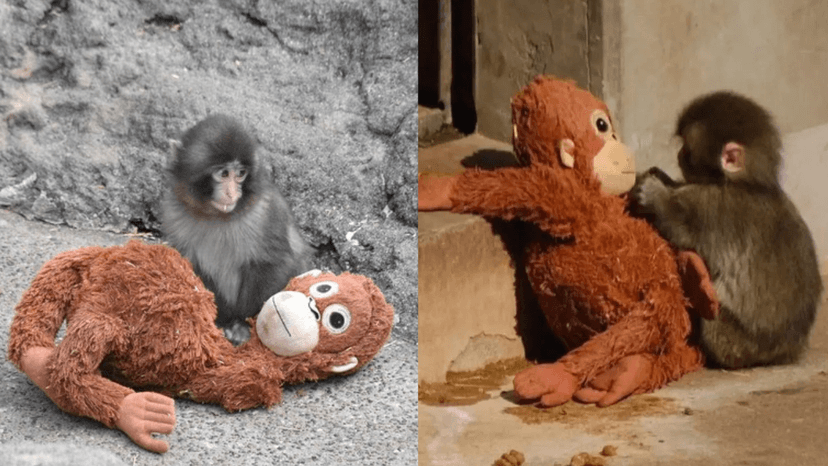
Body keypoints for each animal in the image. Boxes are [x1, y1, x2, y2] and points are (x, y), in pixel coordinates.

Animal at [159, 114, 311, 344]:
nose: (232, 193)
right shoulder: (173, 213)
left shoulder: (265, 211)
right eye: (223, 173)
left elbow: (276, 262)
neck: (216, 216)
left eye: (240, 174)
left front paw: (241, 324)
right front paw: (222, 321)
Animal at [630, 91, 823, 369]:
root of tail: (785, 353)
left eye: (687, 148)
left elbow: (680, 227)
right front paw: (662, 178)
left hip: (735, 343)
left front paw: (656, 194)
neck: (748, 184)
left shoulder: (712, 207)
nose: (678, 155)